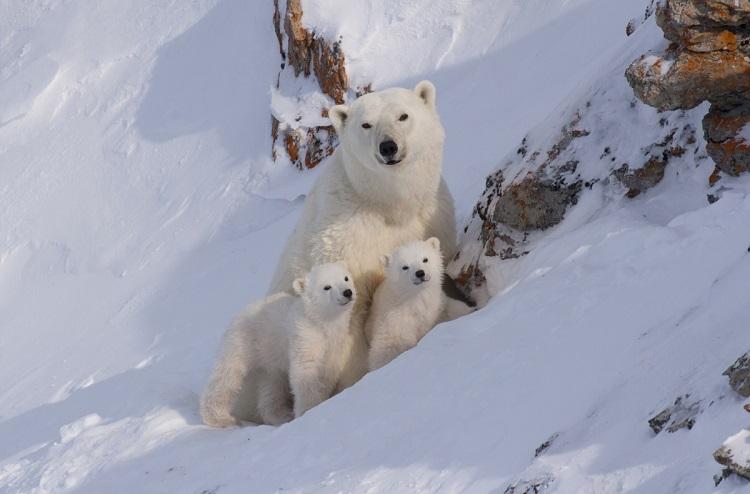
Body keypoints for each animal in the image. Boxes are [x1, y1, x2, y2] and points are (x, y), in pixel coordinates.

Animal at [201, 262, 356, 428]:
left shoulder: (336, 341)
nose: (347, 292)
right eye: (326, 287)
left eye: (345, 278)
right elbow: (305, 371)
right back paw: (220, 417)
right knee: (227, 376)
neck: (321, 321)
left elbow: (328, 370)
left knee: (271, 388)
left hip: (269, 359)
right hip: (242, 342)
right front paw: (308, 409)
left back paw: (281, 415)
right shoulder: (304, 335)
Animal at [366, 238, 444, 370]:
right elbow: (390, 344)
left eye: (425, 259)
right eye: (405, 267)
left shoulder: (434, 309)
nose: (420, 273)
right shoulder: (394, 320)